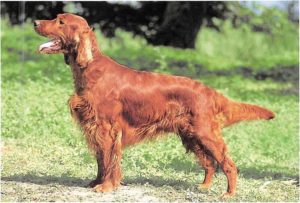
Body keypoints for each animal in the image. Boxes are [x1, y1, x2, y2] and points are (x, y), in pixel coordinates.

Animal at [34, 13, 274, 197]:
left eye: (60, 21)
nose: (35, 22)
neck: (91, 68)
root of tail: (209, 91)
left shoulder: (107, 129)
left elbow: (110, 161)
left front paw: (106, 186)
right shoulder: (95, 128)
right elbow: (101, 160)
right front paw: (97, 182)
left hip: (206, 134)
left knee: (229, 165)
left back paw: (229, 193)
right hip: (192, 136)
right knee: (209, 163)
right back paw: (204, 186)